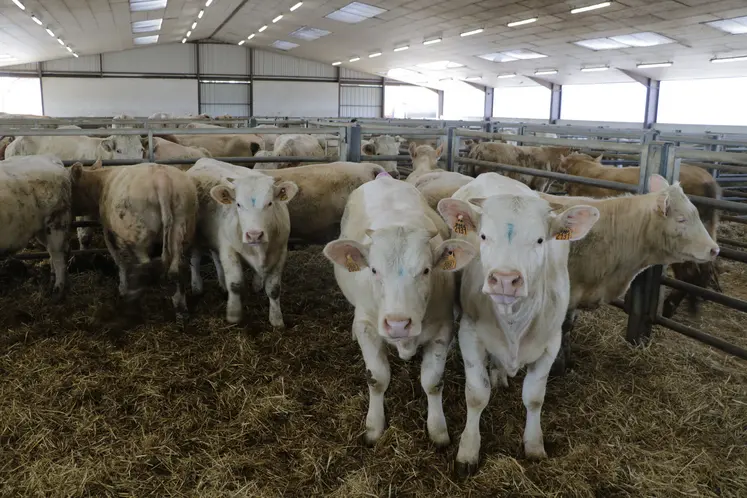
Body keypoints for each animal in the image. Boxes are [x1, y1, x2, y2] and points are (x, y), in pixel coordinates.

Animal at [0, 157, 72, 300]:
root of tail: (51, 159)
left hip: (56, 222)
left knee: (58, 256)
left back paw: (57, 291)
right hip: (42, 230)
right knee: (53, 252)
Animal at [70, 160, 197, 322]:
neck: (101, 184)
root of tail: (161, 179)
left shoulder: (111, 234)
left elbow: (121, 263)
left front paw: (123, 289)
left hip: (139, 237)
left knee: (146, 267)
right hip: (182, 228)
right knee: (177, 269)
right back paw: (181, 309)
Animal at [187, 157, 298, 326]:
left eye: (270, 203)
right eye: (238, 204)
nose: (254, 235)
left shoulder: (281, 251)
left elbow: (274, 289)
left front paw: (276, 319)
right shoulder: (229, 249)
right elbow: (235, 284)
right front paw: (234, 315)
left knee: (216, 257)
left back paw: (223, 284)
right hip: (196, 235)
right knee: (195, 259)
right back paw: (196, 287)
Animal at [322, 177, 476, 446]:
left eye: (426, 270)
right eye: (374, 270)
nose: (397, 324)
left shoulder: (443, 328)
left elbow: (433, 382)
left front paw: (438, 429)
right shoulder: (368, 327)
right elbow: (377, 379)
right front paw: (374, 427)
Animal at [438, 174, 600, 474]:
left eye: (539, 240)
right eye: (483, 236)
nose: (504, 279)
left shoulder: (551, 344)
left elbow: (534, 397)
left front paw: (534, 445)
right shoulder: (470, 334)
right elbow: (476, 395)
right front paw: (468, 450)